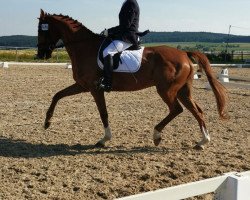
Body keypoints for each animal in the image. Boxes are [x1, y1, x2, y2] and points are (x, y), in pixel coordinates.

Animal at [36, 10, 228, 149]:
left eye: (42, 30)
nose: (41, 54)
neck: (84, 47)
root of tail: (184, 53)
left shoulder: (95, 89)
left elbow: (103, 113)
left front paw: (104, 139)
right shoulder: (82, 86)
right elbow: (57, 95)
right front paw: (47, 122)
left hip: (166, 90)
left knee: (177, 109)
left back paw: (157, 135)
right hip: (182, 90)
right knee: (197, 111)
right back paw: (202, 142)